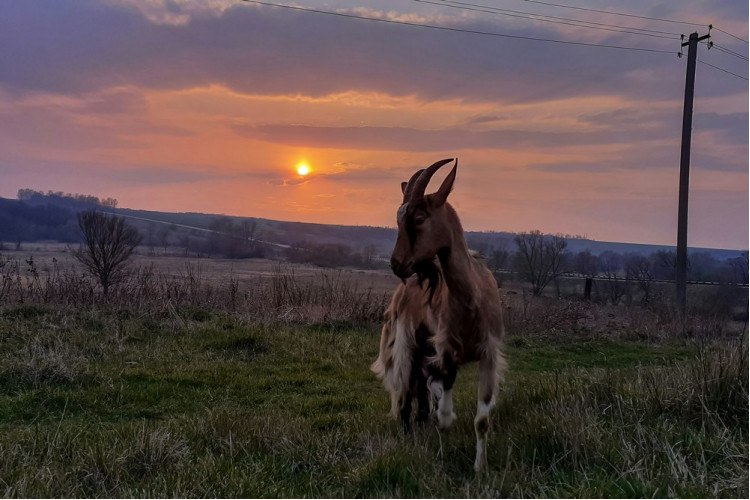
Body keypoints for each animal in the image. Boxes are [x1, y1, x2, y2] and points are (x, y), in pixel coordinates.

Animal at [374, 159, 508, 472]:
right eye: (398, 219)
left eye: (420, 217)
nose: (397, 264)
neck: (470, 300)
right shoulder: (446, 350)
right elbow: (445, 415)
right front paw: (442, 451)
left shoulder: (489, 353)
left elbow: (482, 419)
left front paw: (480, 469)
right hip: (409, 343)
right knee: (407, 391)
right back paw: (408, 430)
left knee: (422, 389)